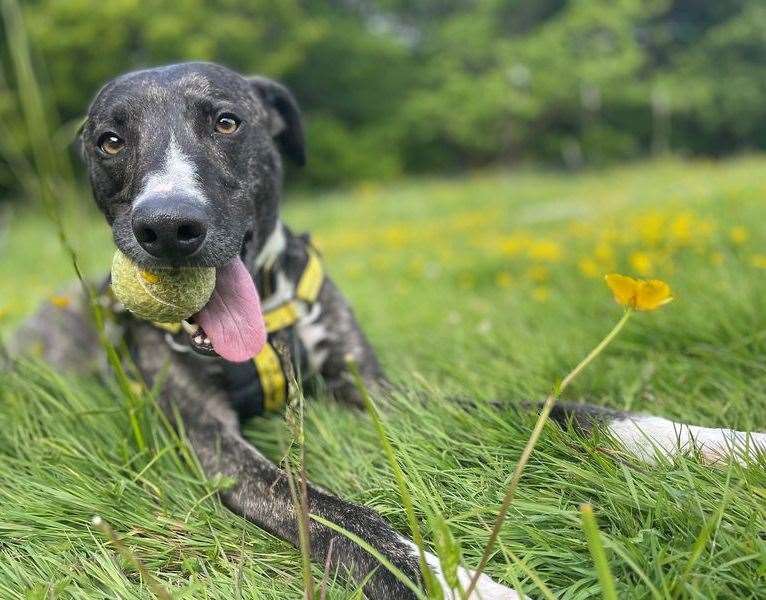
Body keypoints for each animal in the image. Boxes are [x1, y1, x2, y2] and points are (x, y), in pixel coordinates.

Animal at [10, 63, 766, 596]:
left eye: (226, 122)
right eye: (110, 141)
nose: (168, 226)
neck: (271, 320)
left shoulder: (380, 393)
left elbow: (563, 408)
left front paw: (719, 443)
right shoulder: (216, 446)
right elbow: (349, 521)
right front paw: (464, 586)